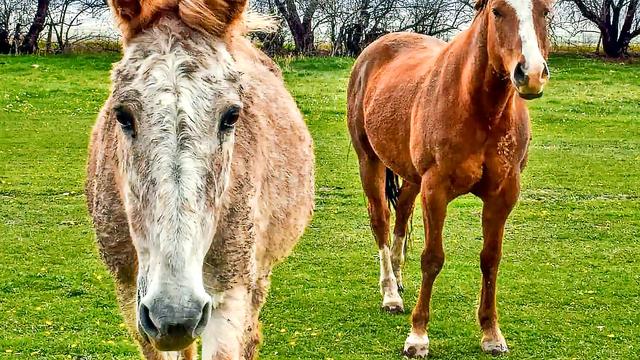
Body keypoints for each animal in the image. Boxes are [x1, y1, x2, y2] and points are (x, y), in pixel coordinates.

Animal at [348, 0, 552, 356]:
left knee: (402, 213)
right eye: (497, 11)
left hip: (411, 176)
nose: (531, 74)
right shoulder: (436, 189)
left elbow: (490, 259)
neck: (479, 107)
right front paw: (417, 337)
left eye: (546, 11)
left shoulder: (503, 195)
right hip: (369, 162)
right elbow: (432, 259)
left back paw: (399, 280)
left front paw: (491, 333)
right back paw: (390, 294)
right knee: (381, 222)